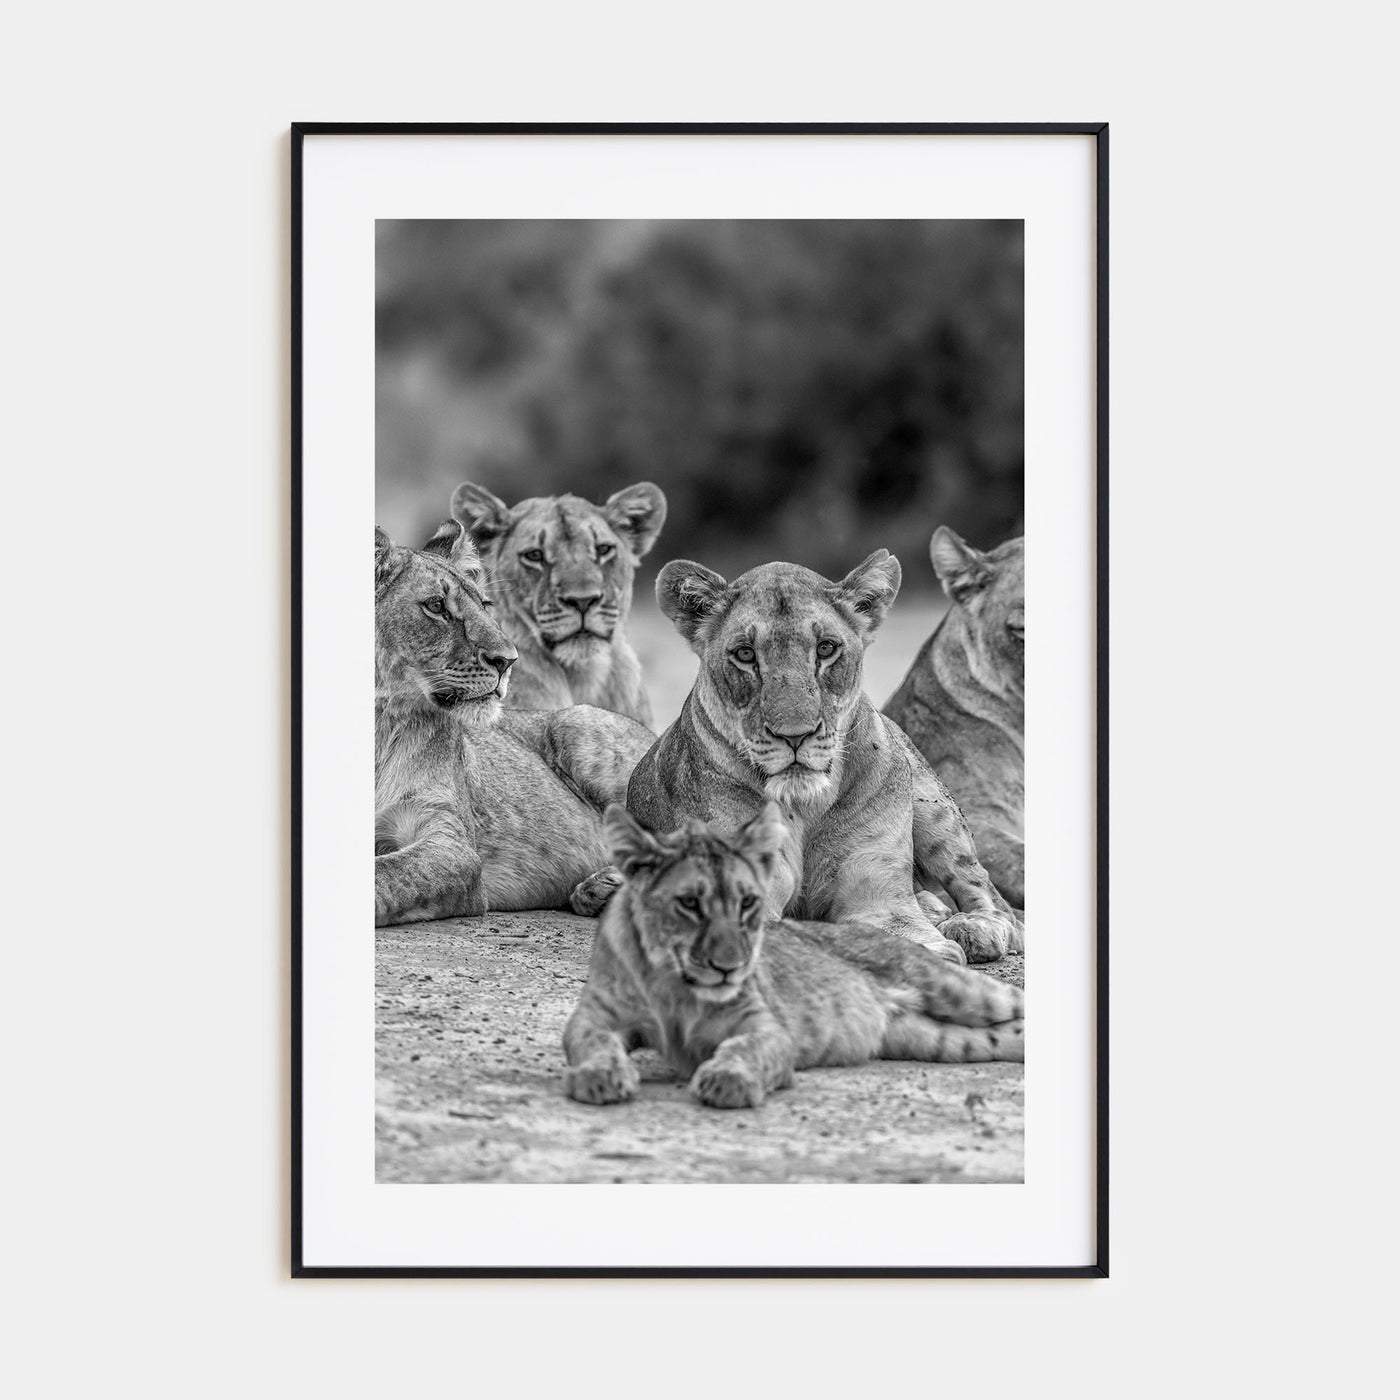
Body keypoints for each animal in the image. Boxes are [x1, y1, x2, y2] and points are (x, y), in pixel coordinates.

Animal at [374, 520, 655, 927]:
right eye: (436, 606)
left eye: (485, 605)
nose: (508, 660)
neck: (379, 724)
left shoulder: (453, 846)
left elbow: (384, 875)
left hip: (576, 721)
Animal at [564, 804, 1024, 1109]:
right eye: (689, 903)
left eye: (748, 902)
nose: (730, 965)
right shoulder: (593, 1018)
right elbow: (591, 1042)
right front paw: (600, 1077)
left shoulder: (768, 1027)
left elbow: (747, 1049)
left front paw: (727, 1081)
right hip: (933, 1038)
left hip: (956, 986)